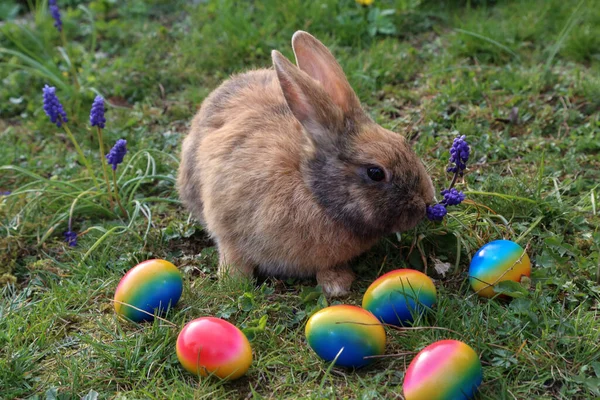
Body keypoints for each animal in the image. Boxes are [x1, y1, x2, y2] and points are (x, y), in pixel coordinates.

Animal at [176, 30, 434, 296]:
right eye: (375, 172)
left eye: (403, 141)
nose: (426, 202)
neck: (311, 190)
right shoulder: (227, 221)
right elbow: (233, 253)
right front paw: (233, 282)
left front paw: (336, 283)